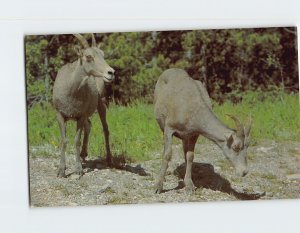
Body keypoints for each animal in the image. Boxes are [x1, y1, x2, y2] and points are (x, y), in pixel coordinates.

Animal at [52, 33, 115, 178]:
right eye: (89, 56)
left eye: (102, 54)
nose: (111, 73)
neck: (71, 91)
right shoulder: (60, 115)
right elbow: (64, 141)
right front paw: (61, 171)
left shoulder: (79, 116)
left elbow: (76, 141)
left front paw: (78, 170)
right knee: (89, 125)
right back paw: (83, 154)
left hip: (101, 104)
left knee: (105, 129)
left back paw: (109, 160)